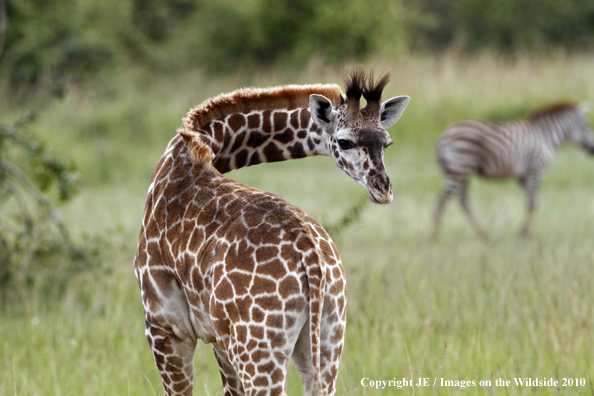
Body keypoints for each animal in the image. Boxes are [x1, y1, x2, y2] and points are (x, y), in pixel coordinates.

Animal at [134, 69, 410, 394]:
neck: (190, 150)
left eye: (386, 143)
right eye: (344, 142)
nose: (383, 189)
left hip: (258, 349)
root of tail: (312, 260)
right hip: (328, 340)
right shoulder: (216, 338)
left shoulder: (166, 325)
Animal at [430, 101, 592, 238]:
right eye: (588, 126)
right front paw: (525, 234)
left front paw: (524, 231)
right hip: (460, 169)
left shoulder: (523, 176)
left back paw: (481, 235)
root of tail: (443, 137)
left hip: (458, 171)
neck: (545, 137)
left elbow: (529, 201)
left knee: (461, 201)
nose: (593, 149)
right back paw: (436, 236)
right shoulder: (536, 169)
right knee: (443, 200)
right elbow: (533, 203)